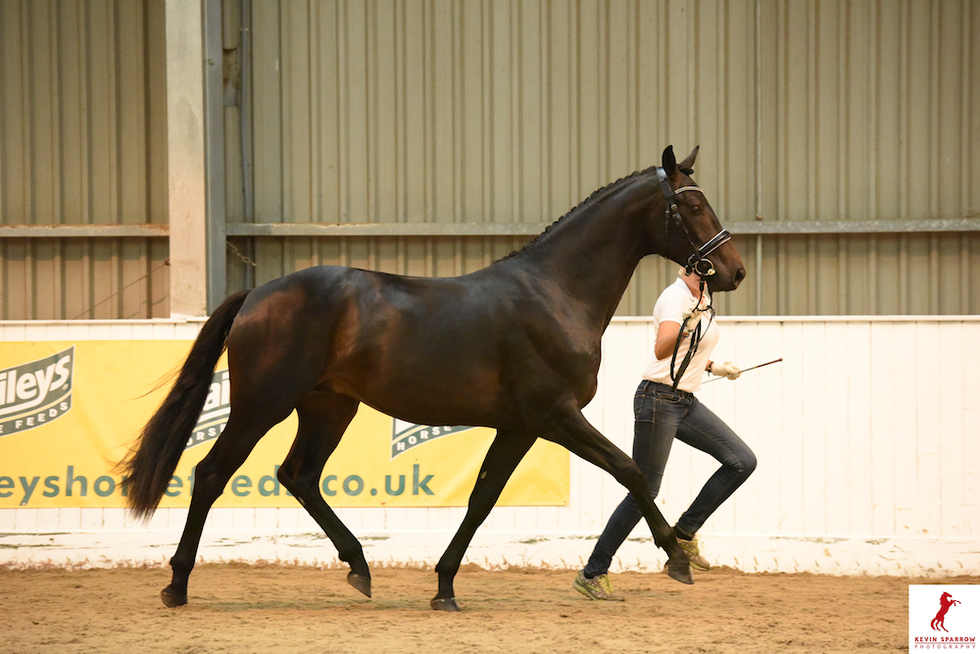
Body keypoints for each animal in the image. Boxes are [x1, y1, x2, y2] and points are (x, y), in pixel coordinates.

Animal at [119, 145, 745, 612]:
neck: (556, 292)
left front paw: (444, 587)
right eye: (693, 207)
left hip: (328, 408)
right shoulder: (556, 416)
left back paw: (360, 567)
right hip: (261, 405)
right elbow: (632, 471)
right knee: (210, 473)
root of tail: (257, 294)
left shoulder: (520, 427)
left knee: (299, 476)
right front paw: (677, 558)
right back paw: (176, 585)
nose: (734, 271)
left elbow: (483, 498)